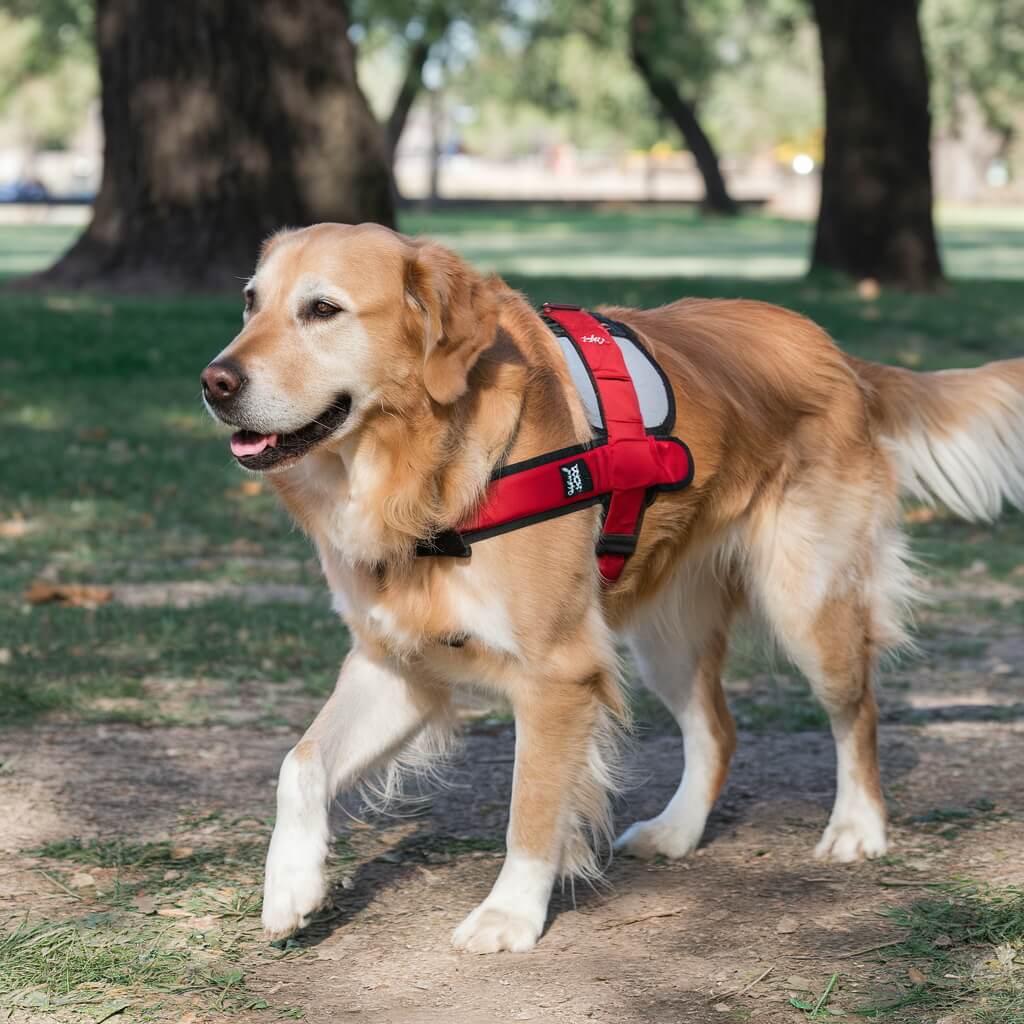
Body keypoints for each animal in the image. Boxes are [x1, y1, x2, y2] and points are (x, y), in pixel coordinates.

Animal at [201, 222, 1024, 950]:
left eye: (322, 309)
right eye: (249, 301)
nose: (214, 382)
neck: (428, 472)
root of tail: (833, 350)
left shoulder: (557, 672)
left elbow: (532, 808)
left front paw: (509, 916)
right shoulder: (398, 664)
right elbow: (299, 763)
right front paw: (290, 886)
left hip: (808, 604)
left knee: (858, 712)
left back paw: (856, 827)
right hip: (668, 638)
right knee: (718, 730)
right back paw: (678, 830)